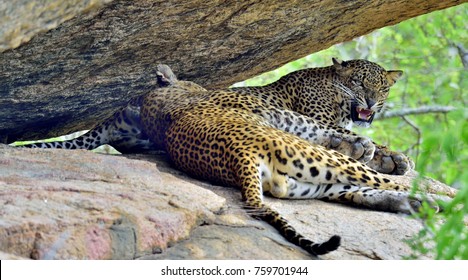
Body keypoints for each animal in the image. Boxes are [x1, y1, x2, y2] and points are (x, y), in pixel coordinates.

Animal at [14, 60, 446, 258]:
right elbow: (349, 138)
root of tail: (120, 110)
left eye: (383, 88)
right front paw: (379, 152)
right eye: (360, 82)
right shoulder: (308, 119)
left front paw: (392, 156)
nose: (372, 102)